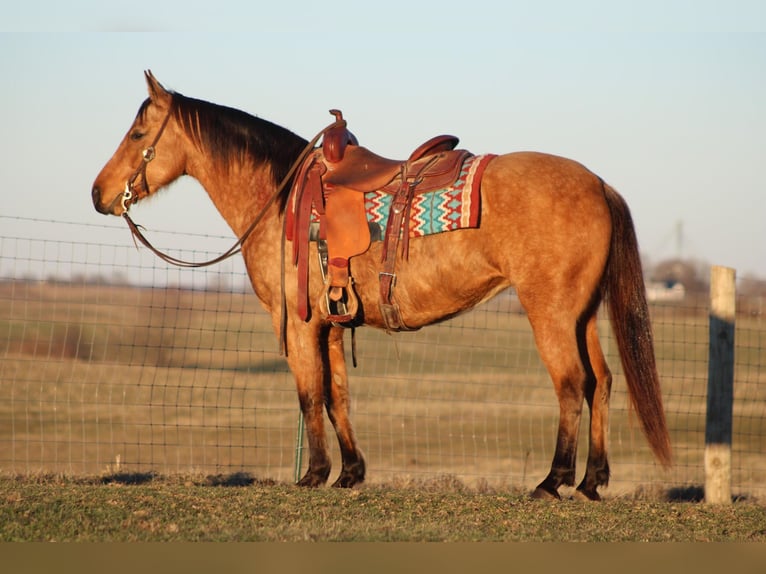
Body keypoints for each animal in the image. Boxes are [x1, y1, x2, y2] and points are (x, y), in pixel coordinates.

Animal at [91, 72, 672, 502]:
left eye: (138, 135)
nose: (99, 194)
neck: (282, 199)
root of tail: (597, 183)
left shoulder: (300, 323)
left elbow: (309, 394)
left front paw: (313, 475)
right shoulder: (330, 323)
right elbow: (338, 396)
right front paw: (350, 473)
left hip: (550, 314)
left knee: (572, 384)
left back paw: (553, 481)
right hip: (582, 315)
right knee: (601, 382)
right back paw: (593, 480)